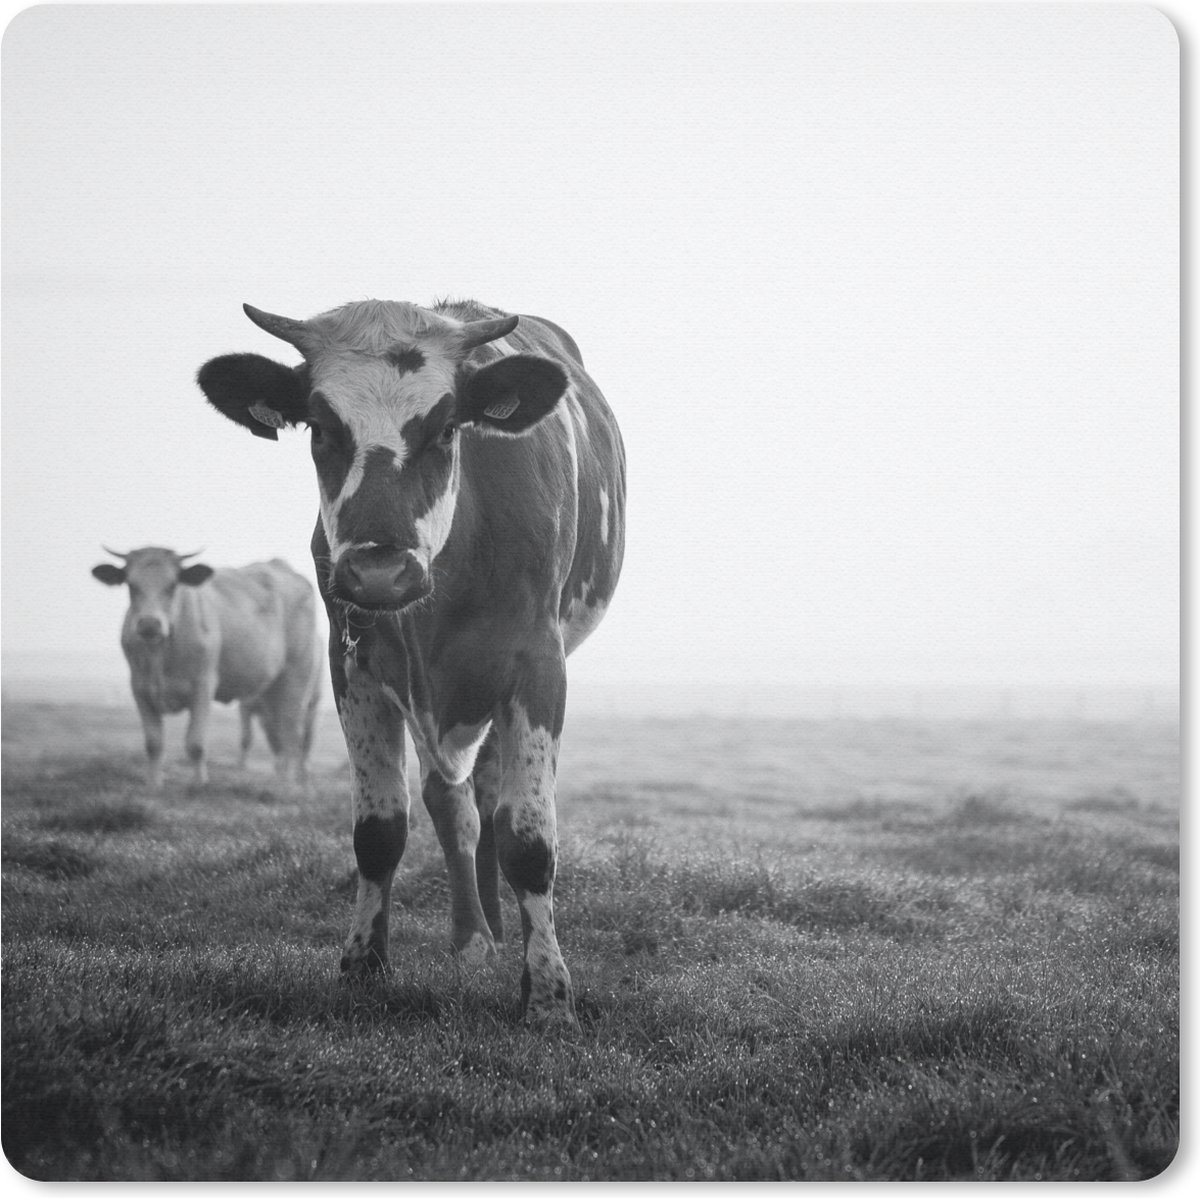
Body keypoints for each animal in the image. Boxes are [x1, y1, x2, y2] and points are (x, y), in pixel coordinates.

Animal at [92, 548, 321, 789]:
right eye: (132, 585)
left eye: (172, 585)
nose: (149, 624)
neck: (160, 653)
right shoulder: (140, 688)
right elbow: (153, 743)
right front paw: (154, 784)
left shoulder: (202, 686)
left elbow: (196, 742)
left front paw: (199, 783)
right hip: (270, 691)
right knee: (278, 735)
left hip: (297, 680)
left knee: (292, 733)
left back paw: (286, 785)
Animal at [196, 298, 625, 1025]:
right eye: (320, 428)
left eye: (448, 429)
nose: (379, 572)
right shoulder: (355, 667)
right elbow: (381, 831)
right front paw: (363, 967)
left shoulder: (538, 666)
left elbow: (529, 839)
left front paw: (548, 993)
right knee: (457, 805)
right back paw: (474, 935)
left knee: (491, 803)